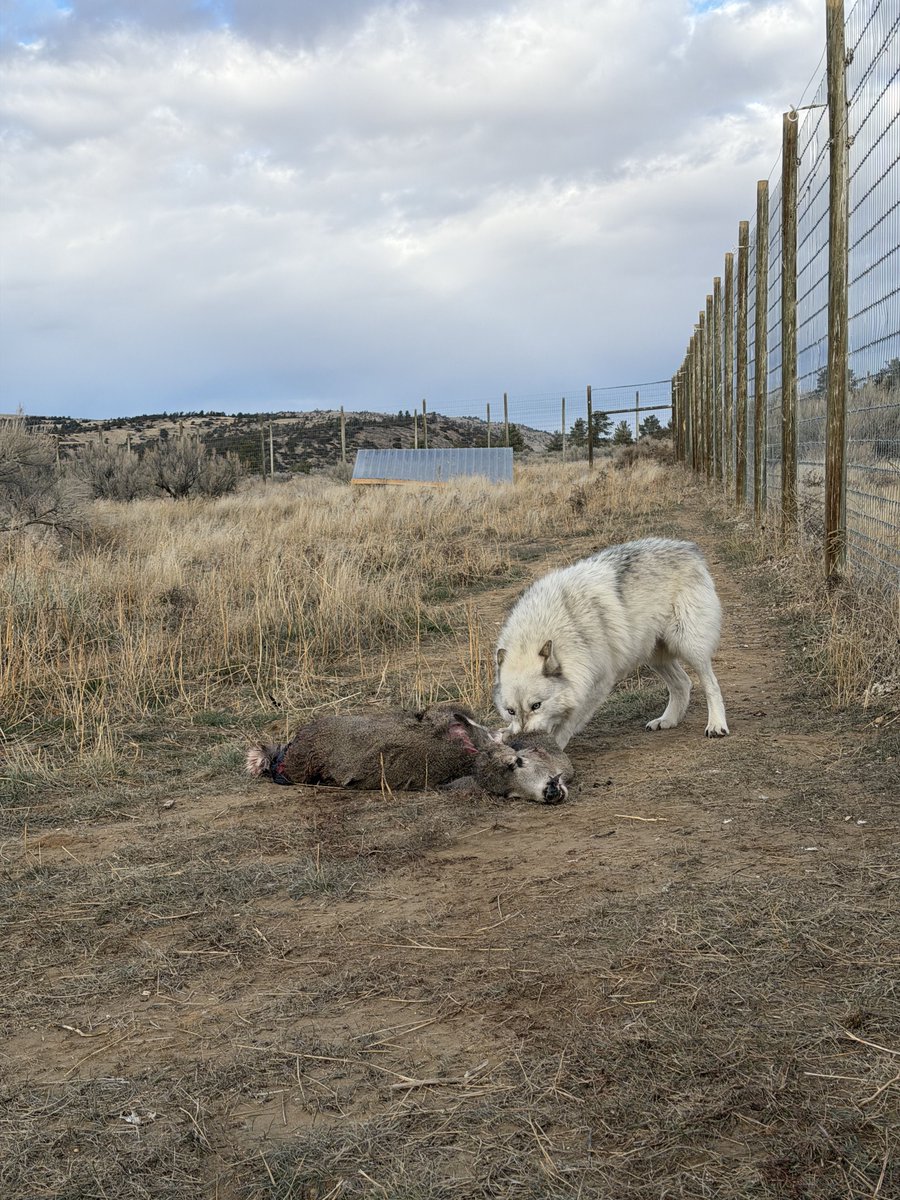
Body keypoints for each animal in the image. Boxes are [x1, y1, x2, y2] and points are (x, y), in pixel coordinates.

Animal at [494, 538, 729, 748]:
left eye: (536, 705)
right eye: (511, 711)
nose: (521, 741)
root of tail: (688, 547)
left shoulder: (597, 685)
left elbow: (565, 726)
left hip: (689, 646)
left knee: (711, 684)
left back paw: (716, 725)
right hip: (653, 655)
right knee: (683, 683)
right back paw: (667, 720)